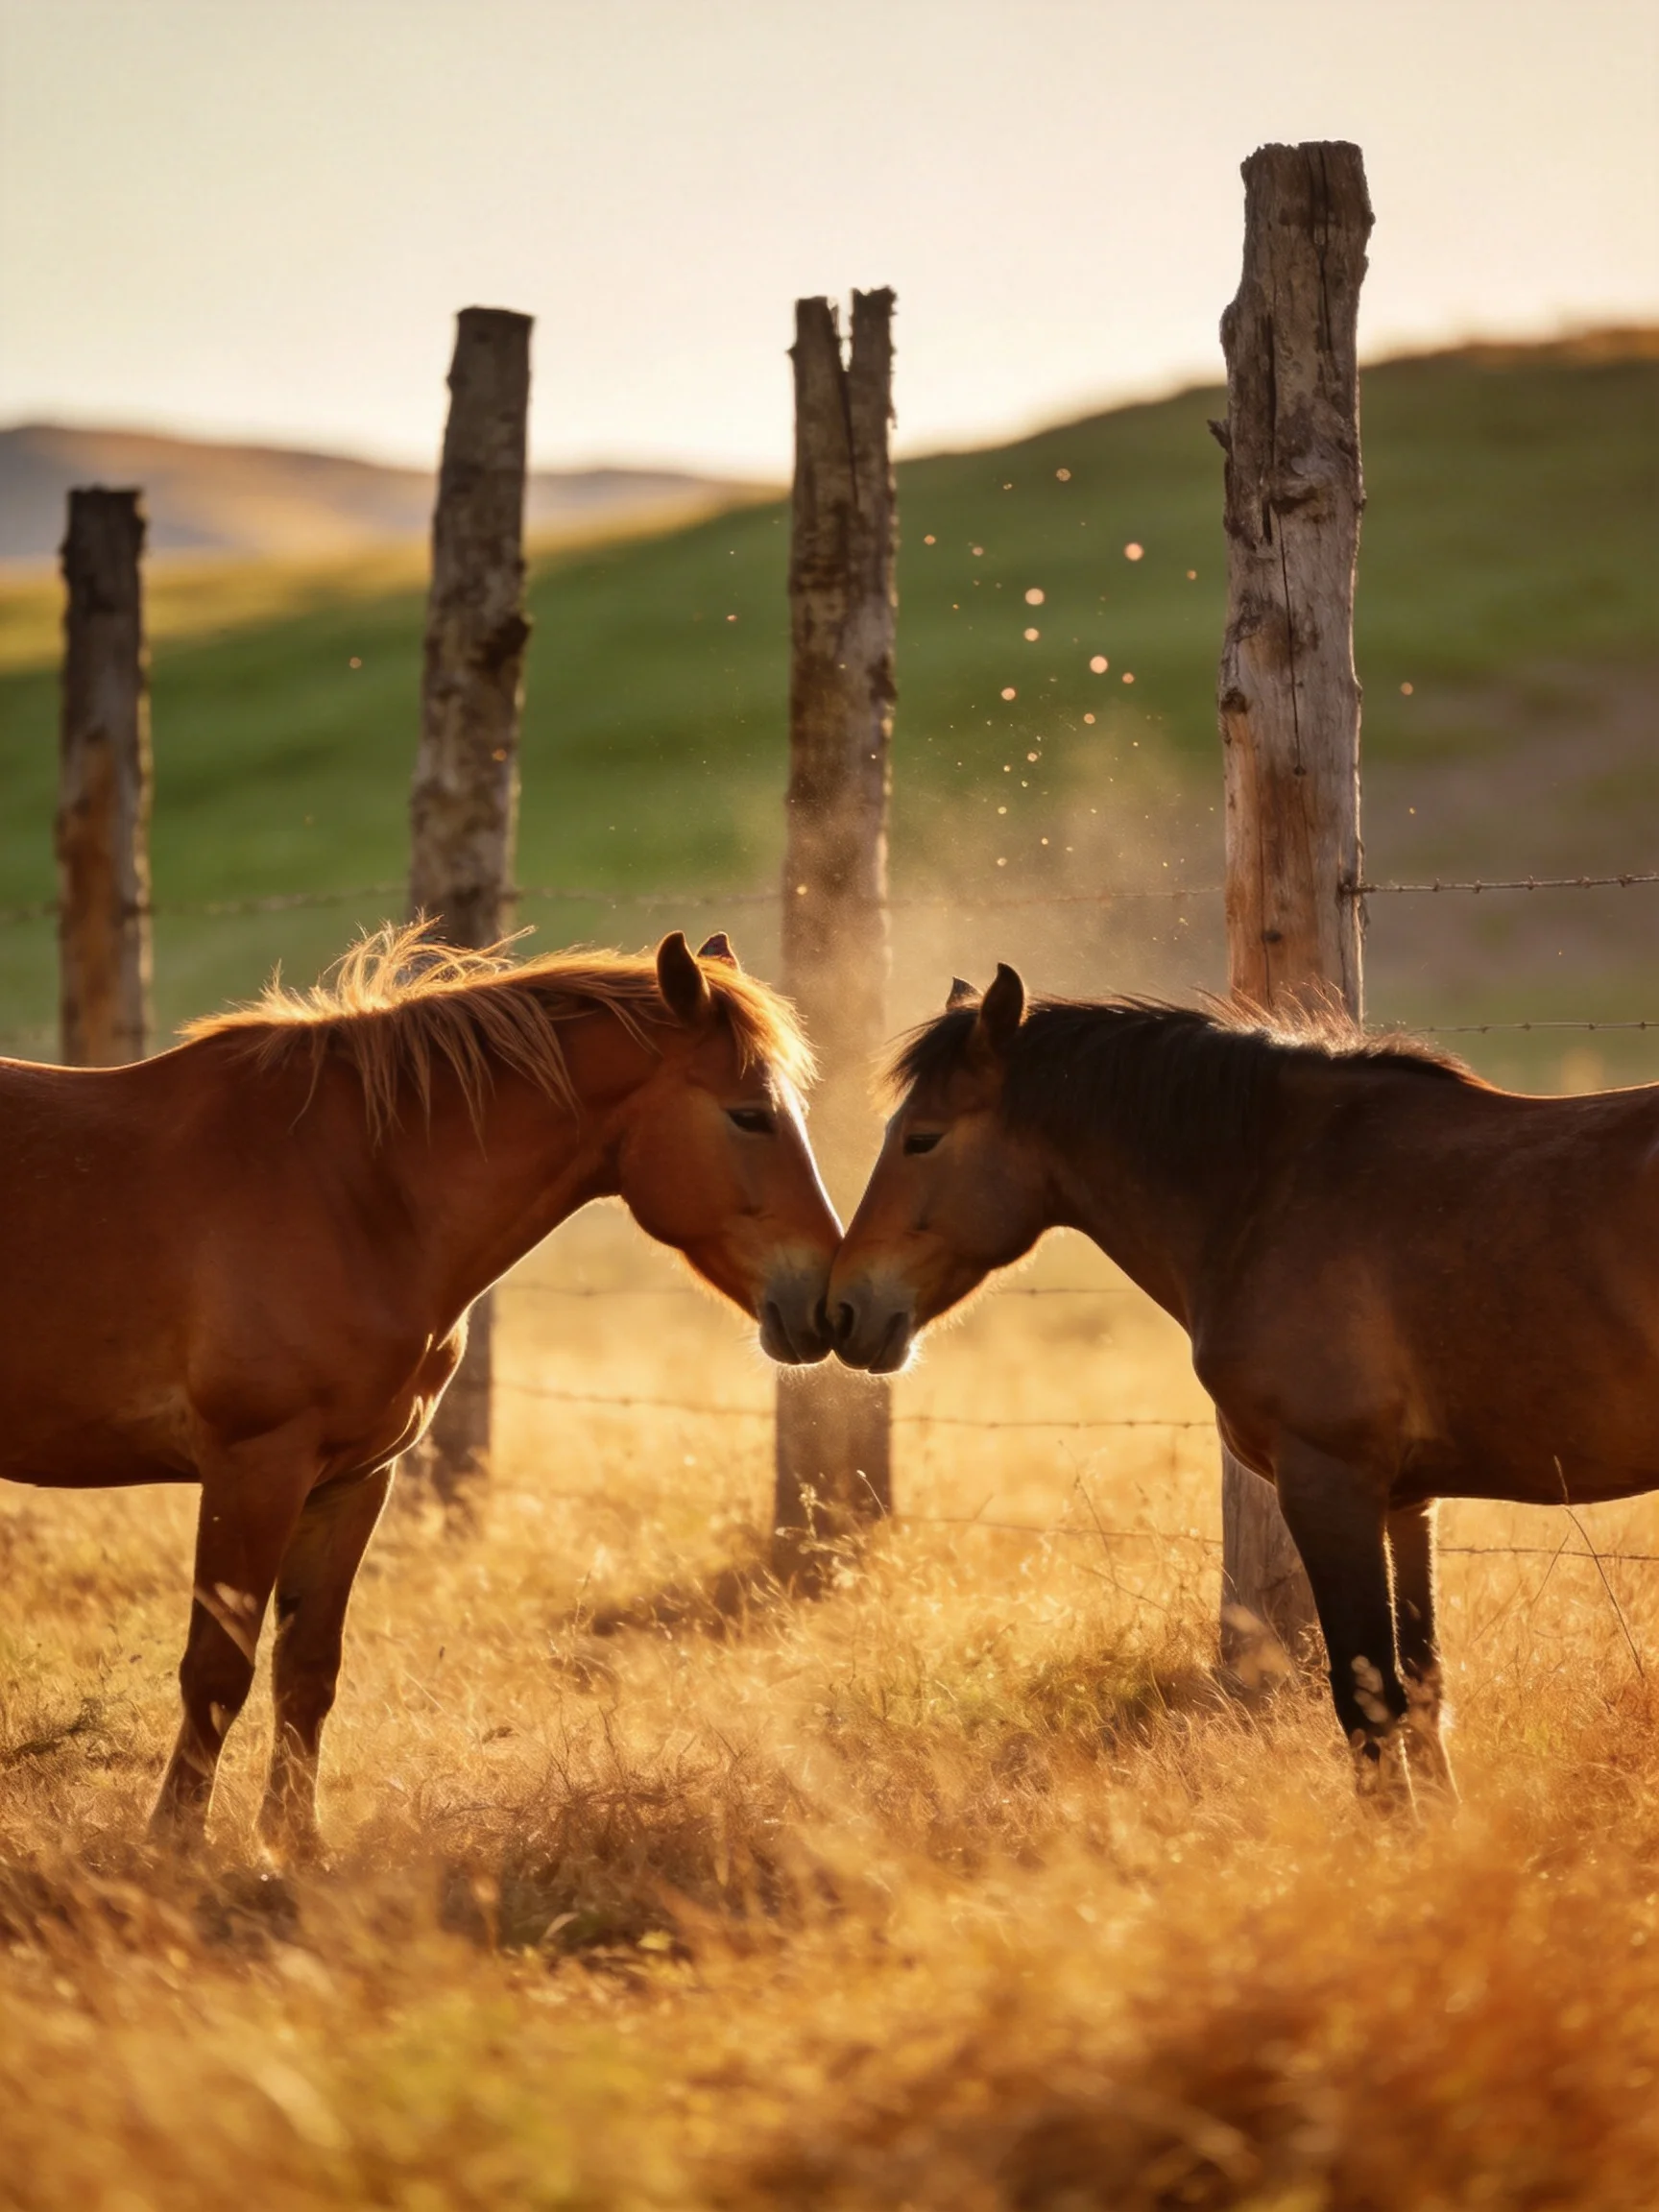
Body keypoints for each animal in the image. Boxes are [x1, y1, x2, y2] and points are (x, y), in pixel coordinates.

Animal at [0, 924, 838, 1854]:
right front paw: (176, 1844)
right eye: (749, 1114)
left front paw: (293, 1845)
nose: (827, 1302)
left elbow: (307, 1669)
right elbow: (217, 1669)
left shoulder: (353, 1478)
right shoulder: (254, 1467)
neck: (358, 1190)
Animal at [828, 963, 1659, 1805]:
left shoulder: (1329, 1487)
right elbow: (1424, 1693)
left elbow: (1368, 1703)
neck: (1268, 1188)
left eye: (922, 1138)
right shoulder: (1407, 1501)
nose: (843, 1308)